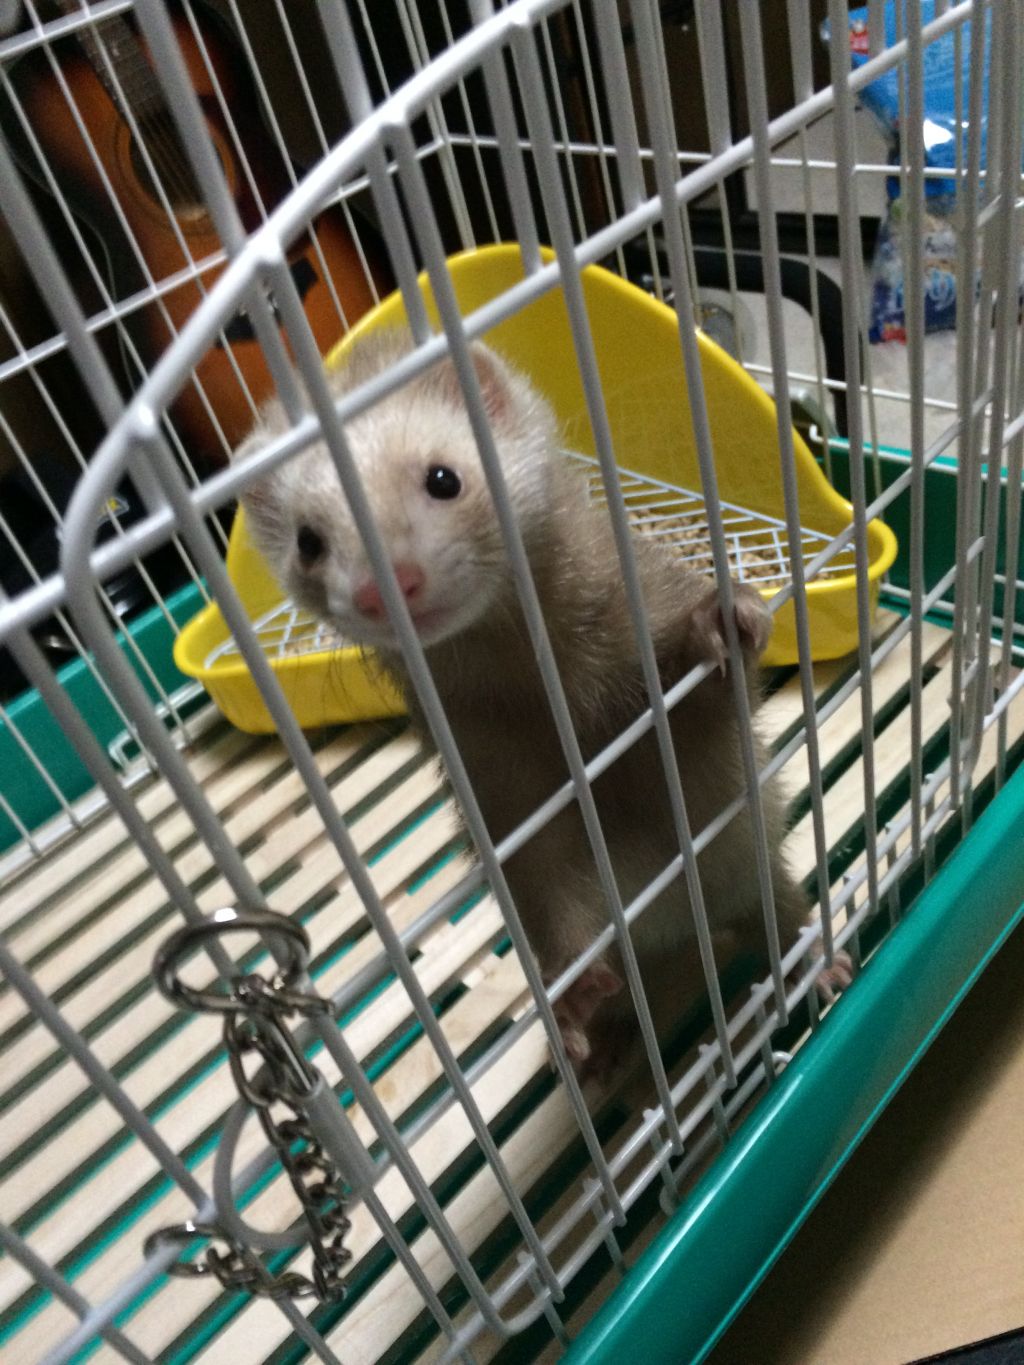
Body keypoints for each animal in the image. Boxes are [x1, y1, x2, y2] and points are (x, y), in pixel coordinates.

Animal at [237, 327, 850, 1074]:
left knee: (782, 919)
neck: (560, 702)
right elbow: (552, 893)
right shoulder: (503, 792)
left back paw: (820, 963)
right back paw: (604, 1047)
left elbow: (707, 701)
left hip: (756, 874)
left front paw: (721, 619)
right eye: (308, 541)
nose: (384, 585)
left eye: (443, 477)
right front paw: (572, 993)